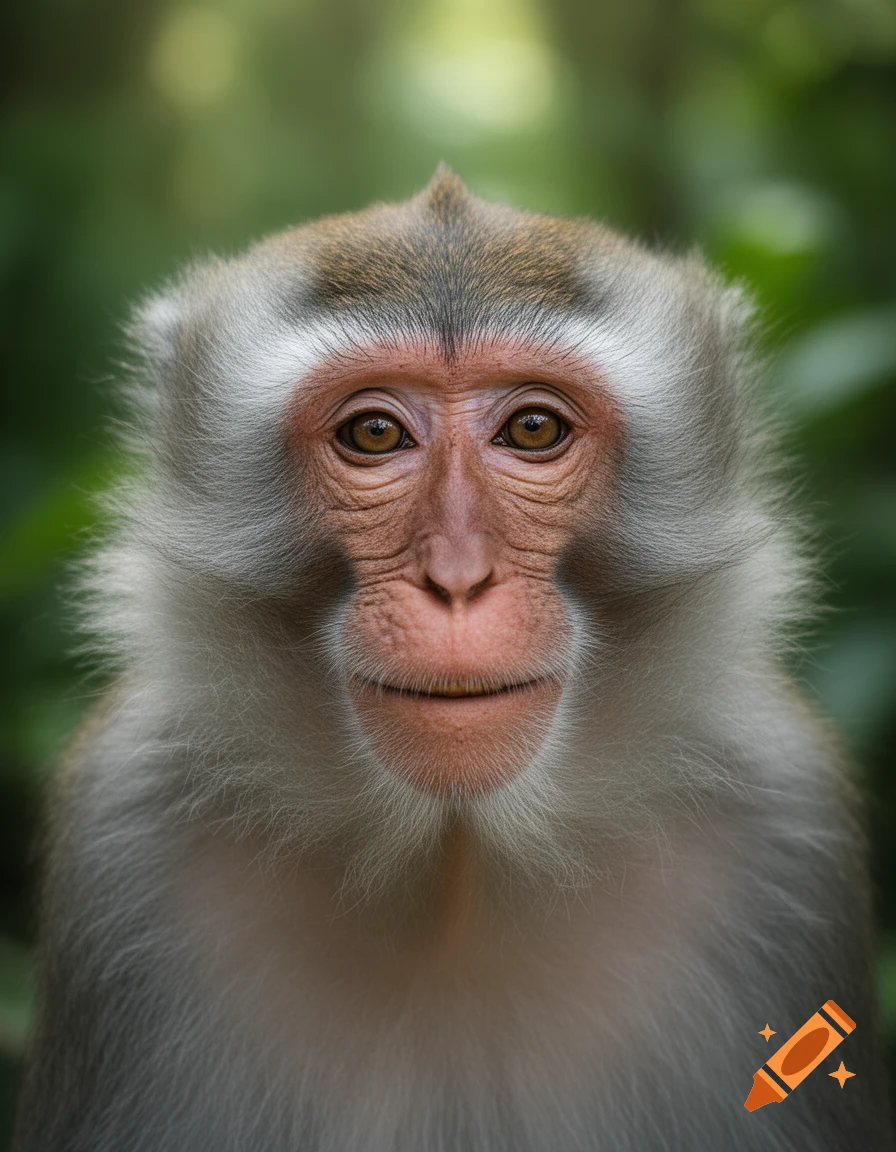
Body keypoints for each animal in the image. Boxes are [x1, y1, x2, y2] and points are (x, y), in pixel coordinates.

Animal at [11, 167, 895, 1152]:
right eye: (373, 435)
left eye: (535, 428)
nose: (459, 578)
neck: (456, 865)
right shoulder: (123, 829)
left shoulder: (788, 820)